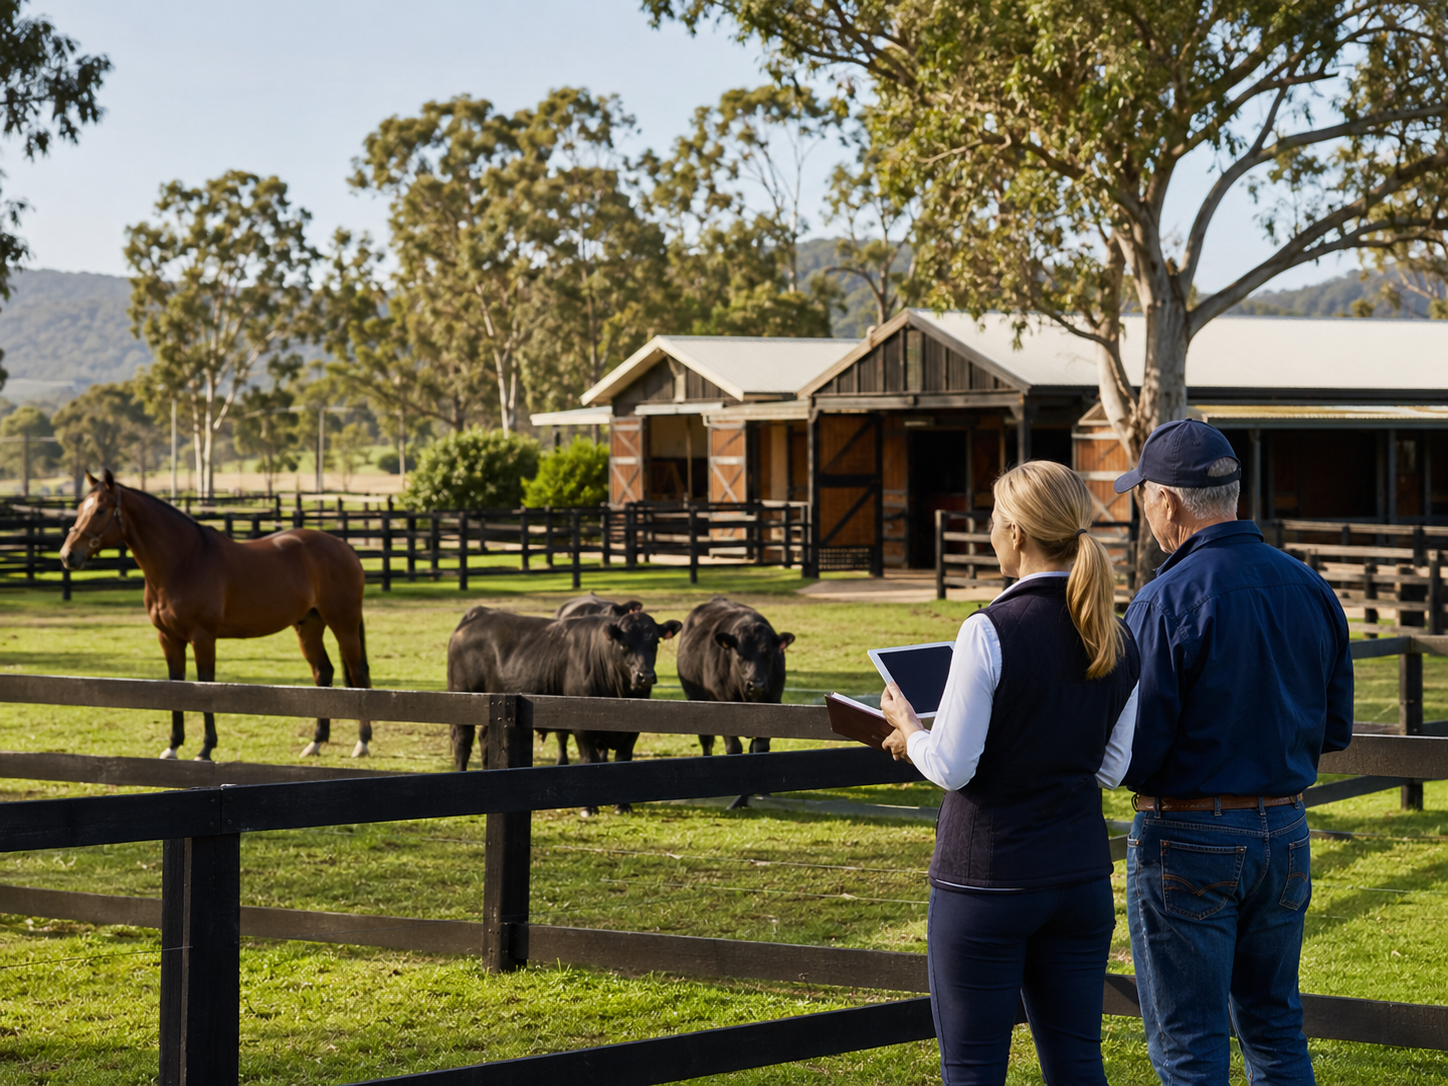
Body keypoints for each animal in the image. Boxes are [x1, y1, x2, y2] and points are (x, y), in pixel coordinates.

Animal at [446, 606, 681, 815]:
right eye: (624, 644)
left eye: (655, 641)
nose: (645, 676)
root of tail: (478, 615)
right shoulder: (582, 727)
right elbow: (590, 760)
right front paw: (588, 807)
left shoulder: (634, 728)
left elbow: (623, 758)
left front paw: (622, 805)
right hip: (462, 696)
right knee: (463, 740)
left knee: (484, 737)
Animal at [675, 597, 796, 767]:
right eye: (739, 654)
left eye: (769, 653)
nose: (756, 685)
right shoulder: (723, 705)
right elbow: (733, 747)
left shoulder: (773, 702)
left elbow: (760, 747)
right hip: (695, 700)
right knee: (706, 740)